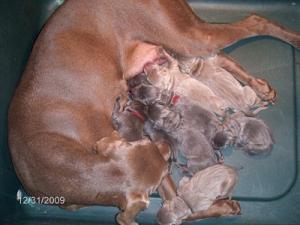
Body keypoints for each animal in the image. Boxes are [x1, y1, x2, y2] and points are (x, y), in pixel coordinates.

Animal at [7, 0, 300, 225]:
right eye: (144, 143)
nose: (170, 151)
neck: (63, 163)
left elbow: (179, 205)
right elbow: (177, 205)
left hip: (187, 35)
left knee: (254, 21)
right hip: (177, 43)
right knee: (219, 57)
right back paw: (260, 87)